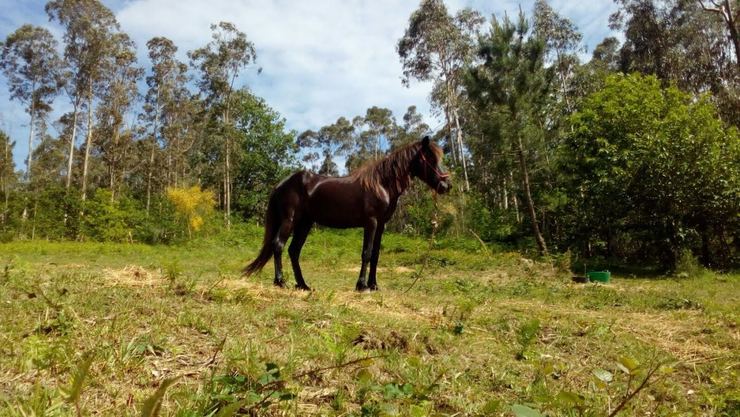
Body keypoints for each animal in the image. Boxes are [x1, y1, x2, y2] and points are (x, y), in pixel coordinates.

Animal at [244, 136, 450, 290]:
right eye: (430, 159)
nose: (446, 186)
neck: (381, 185)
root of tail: (282, 184)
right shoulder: (371, 223)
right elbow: (366, 253)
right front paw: (361, 286)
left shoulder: (381, 225)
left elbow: (376, 254)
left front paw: (374, 285)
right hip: (290, 220)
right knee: (278, 245)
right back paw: (280, 282)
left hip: (305, 223)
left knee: (294, 251)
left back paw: (303, 285)